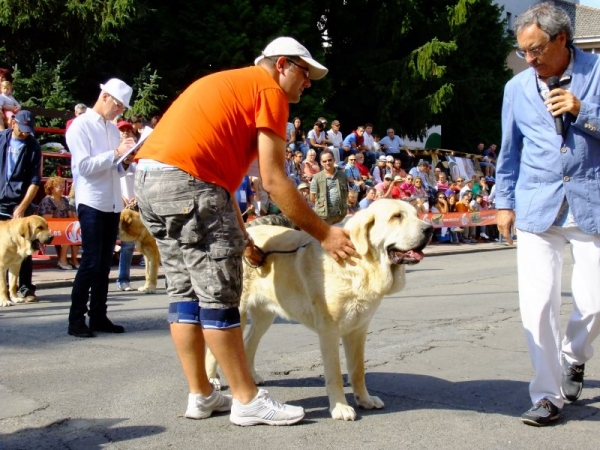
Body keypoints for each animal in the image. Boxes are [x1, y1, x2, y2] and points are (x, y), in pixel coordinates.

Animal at [206, 200, 432, 422]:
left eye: (416, 214)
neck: (359, 266)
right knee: (214, 347)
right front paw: (340, 407)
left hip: (265, 316)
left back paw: (252, 377)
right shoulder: (329, 331)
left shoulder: (358, 329)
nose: (430, 229)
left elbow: (357, 370)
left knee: (248, 343)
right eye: (397, 216)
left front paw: (365, 400)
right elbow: (335, 373)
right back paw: (212, 380)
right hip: (236, 310)